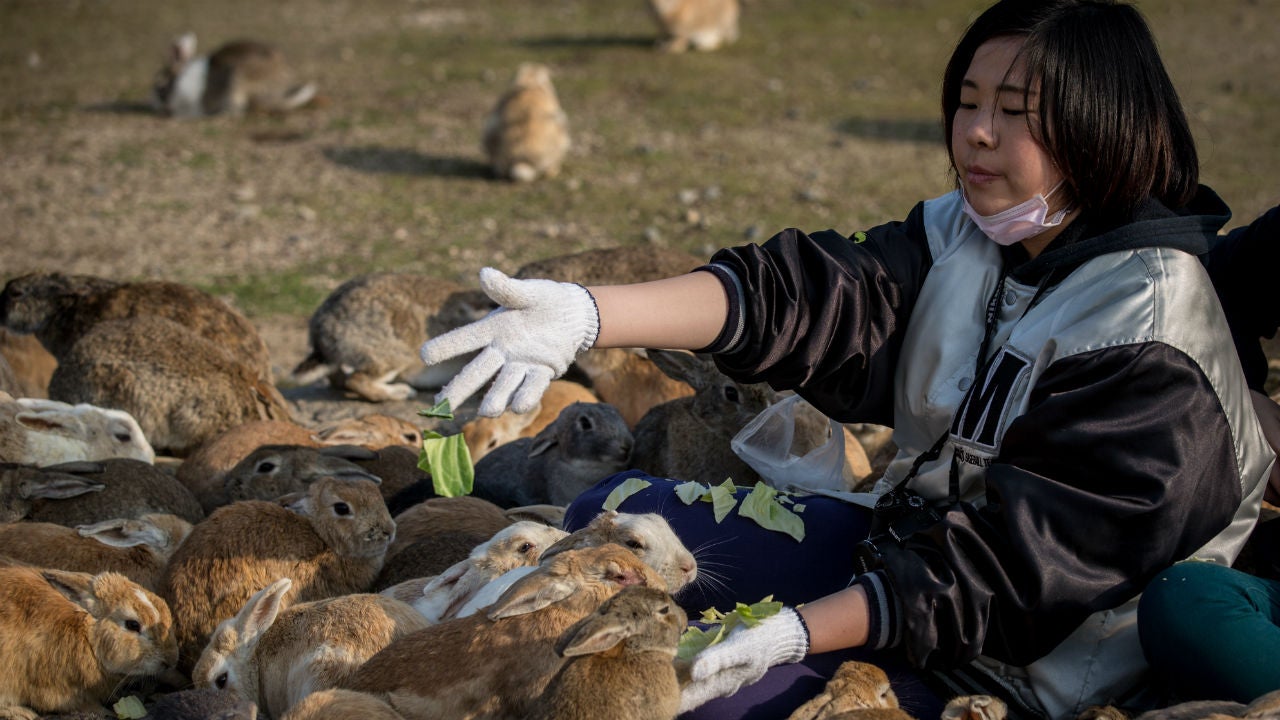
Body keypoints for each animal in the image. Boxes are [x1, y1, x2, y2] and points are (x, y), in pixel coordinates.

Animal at [0, 566, 178, 719]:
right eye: (132, 625)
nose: (171, 659)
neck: (88, 636)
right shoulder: (60, 691)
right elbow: (85, 705)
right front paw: (108, 712)